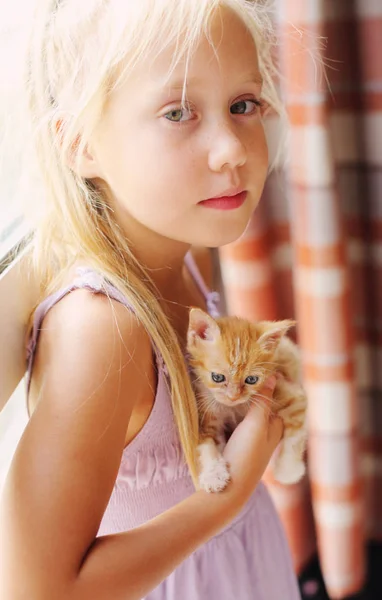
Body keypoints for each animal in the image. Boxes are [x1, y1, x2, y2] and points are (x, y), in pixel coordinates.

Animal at [187, 310, 308, 492]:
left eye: (251, 379)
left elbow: (294, 438)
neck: (235, 407)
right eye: (217, 377)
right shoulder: (206, 410)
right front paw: (213, 474)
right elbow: (206, 444)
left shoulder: (292, 396)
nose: (233, 396)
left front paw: (288, 470)